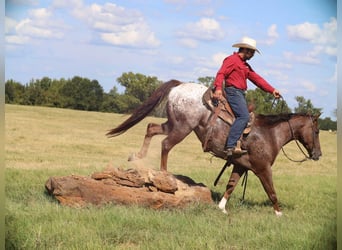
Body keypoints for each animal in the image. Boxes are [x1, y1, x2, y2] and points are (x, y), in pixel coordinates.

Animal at [107, 79, 324, 215]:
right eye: (317, 131)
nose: (318, 154)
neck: (269, 133)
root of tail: (179, 86)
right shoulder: (263, 168)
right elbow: (271, 190)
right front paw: (279, 213)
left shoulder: (240, 165)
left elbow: (230, 185)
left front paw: (222, 208)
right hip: (182, 128)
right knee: (166, 144)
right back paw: (164, 175)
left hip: (172, 124)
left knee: (151, 127)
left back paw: (137, 156)